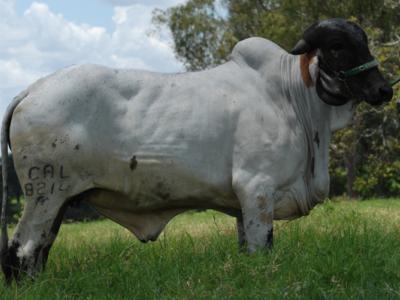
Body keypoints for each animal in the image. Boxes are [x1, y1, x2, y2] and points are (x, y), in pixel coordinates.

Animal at [0, 18, 394, 282]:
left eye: (365, 42)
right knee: (21, 252)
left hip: (60, 201)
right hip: (44, 194)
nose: (384, 89)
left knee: (40, 250)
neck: (292, 97)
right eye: (338, 47)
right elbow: (261, 249)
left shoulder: (245, 204)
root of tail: (33, 89)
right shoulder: (257, 189)